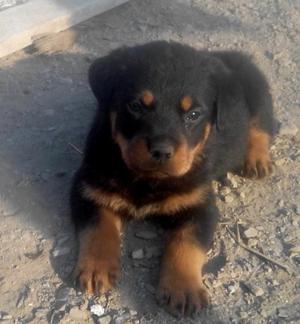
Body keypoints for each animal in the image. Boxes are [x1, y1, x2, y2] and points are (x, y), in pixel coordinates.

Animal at [71, 40, 274, 316]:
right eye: (135, 106)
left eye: (194, 115)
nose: (161, 151)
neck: (147, 179)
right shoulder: (88, 187)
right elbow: (98, 226)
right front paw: (96, 267)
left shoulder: (200, 206)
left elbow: (186, 244)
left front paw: (183, 289)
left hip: (259, 91)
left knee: (261, 125)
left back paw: (257, 159)